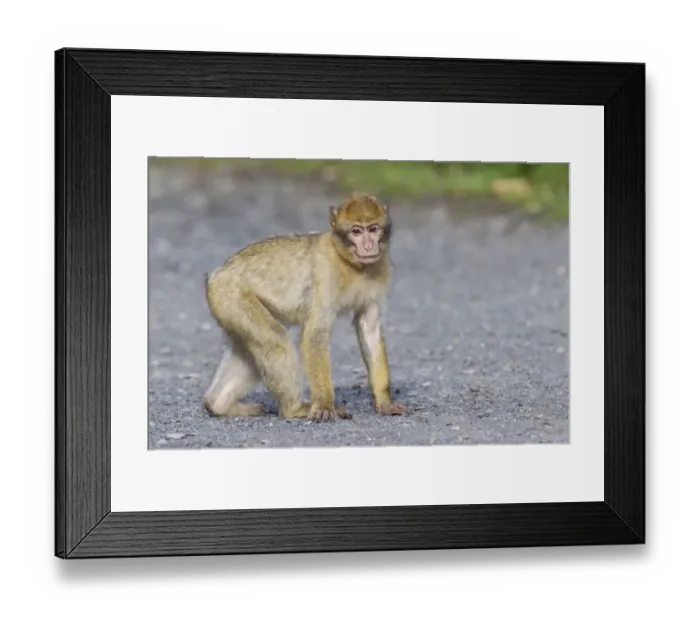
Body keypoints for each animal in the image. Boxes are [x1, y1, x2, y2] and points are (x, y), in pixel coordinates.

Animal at [203, 191, 408, 423]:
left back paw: (218, 405)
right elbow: (315, 335)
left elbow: (369, 329)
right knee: (275, 342)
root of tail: (216, 276)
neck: (353, 265)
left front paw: (385, 401)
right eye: (356, 231)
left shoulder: (381, 272)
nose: (368, 246)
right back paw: (294, 409)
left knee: (251, 352)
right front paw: (325, 405)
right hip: (231, 296)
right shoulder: (327, 272)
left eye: (373, 229)